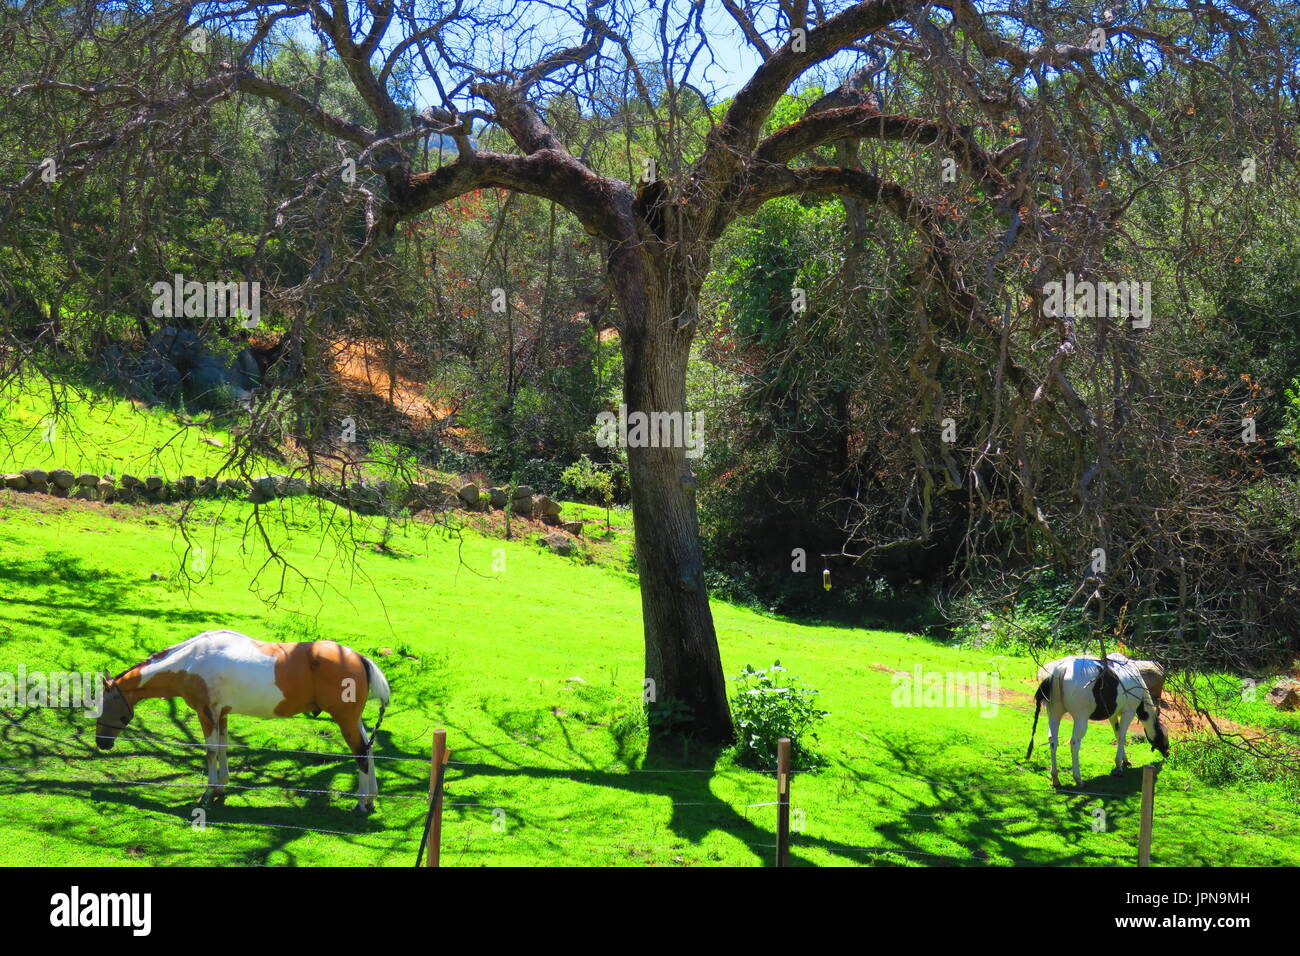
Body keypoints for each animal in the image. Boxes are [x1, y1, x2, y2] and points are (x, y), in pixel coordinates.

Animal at [96, 632, 390, 811]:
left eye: (103, 703)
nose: (101, 743)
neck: (191, 662)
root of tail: (358, 657)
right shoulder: (221, 714)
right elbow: (223, 748)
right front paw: (221, 788)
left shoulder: (206, 713)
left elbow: (211, 750)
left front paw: (208, 793)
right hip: (354, 720)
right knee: (369, 750)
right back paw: (371, 799)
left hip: (345, 720)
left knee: (361, 755)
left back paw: (361, 803)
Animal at [1024, 655, 1170, 790]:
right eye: (1164, 734)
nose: (1167, 752)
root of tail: (1061, 669)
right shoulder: (1128, 713)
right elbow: (1122, 737)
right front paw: (1119, 766)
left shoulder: (1113, 715)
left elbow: (1117, 735)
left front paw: (1125, 759)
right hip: (1080, 718)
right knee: (1074, 743)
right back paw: (1078, 779)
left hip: (1054, 714)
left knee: (1053, 741)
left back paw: (1055, 778)